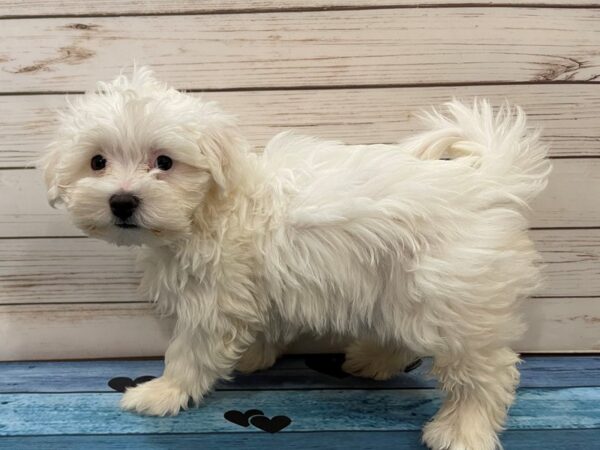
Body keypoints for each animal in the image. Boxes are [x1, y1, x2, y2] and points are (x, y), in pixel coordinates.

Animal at [41, 67, 548, 450]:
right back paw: (373, 361)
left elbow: (190, 349)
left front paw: (164, 392)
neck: (211, 206)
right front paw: (251, 357)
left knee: (485, 372)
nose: (122, 201)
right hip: (403, 286)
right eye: (97, 162)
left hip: (452, 297)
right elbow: (260, 324)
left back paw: (463, 430)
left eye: (164, 162)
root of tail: (486, 183)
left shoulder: (212, 299)